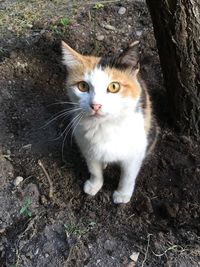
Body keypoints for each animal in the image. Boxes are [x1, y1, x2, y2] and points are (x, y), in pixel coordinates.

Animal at [61, 40, 158, 205]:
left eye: (114, 87)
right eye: (83, 86)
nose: (95, 105)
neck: (104, 127)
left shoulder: (134, 153)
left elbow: (128, 176)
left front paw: (122, 195)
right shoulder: (86, 146)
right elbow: (94, 169)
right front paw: (94, 184)